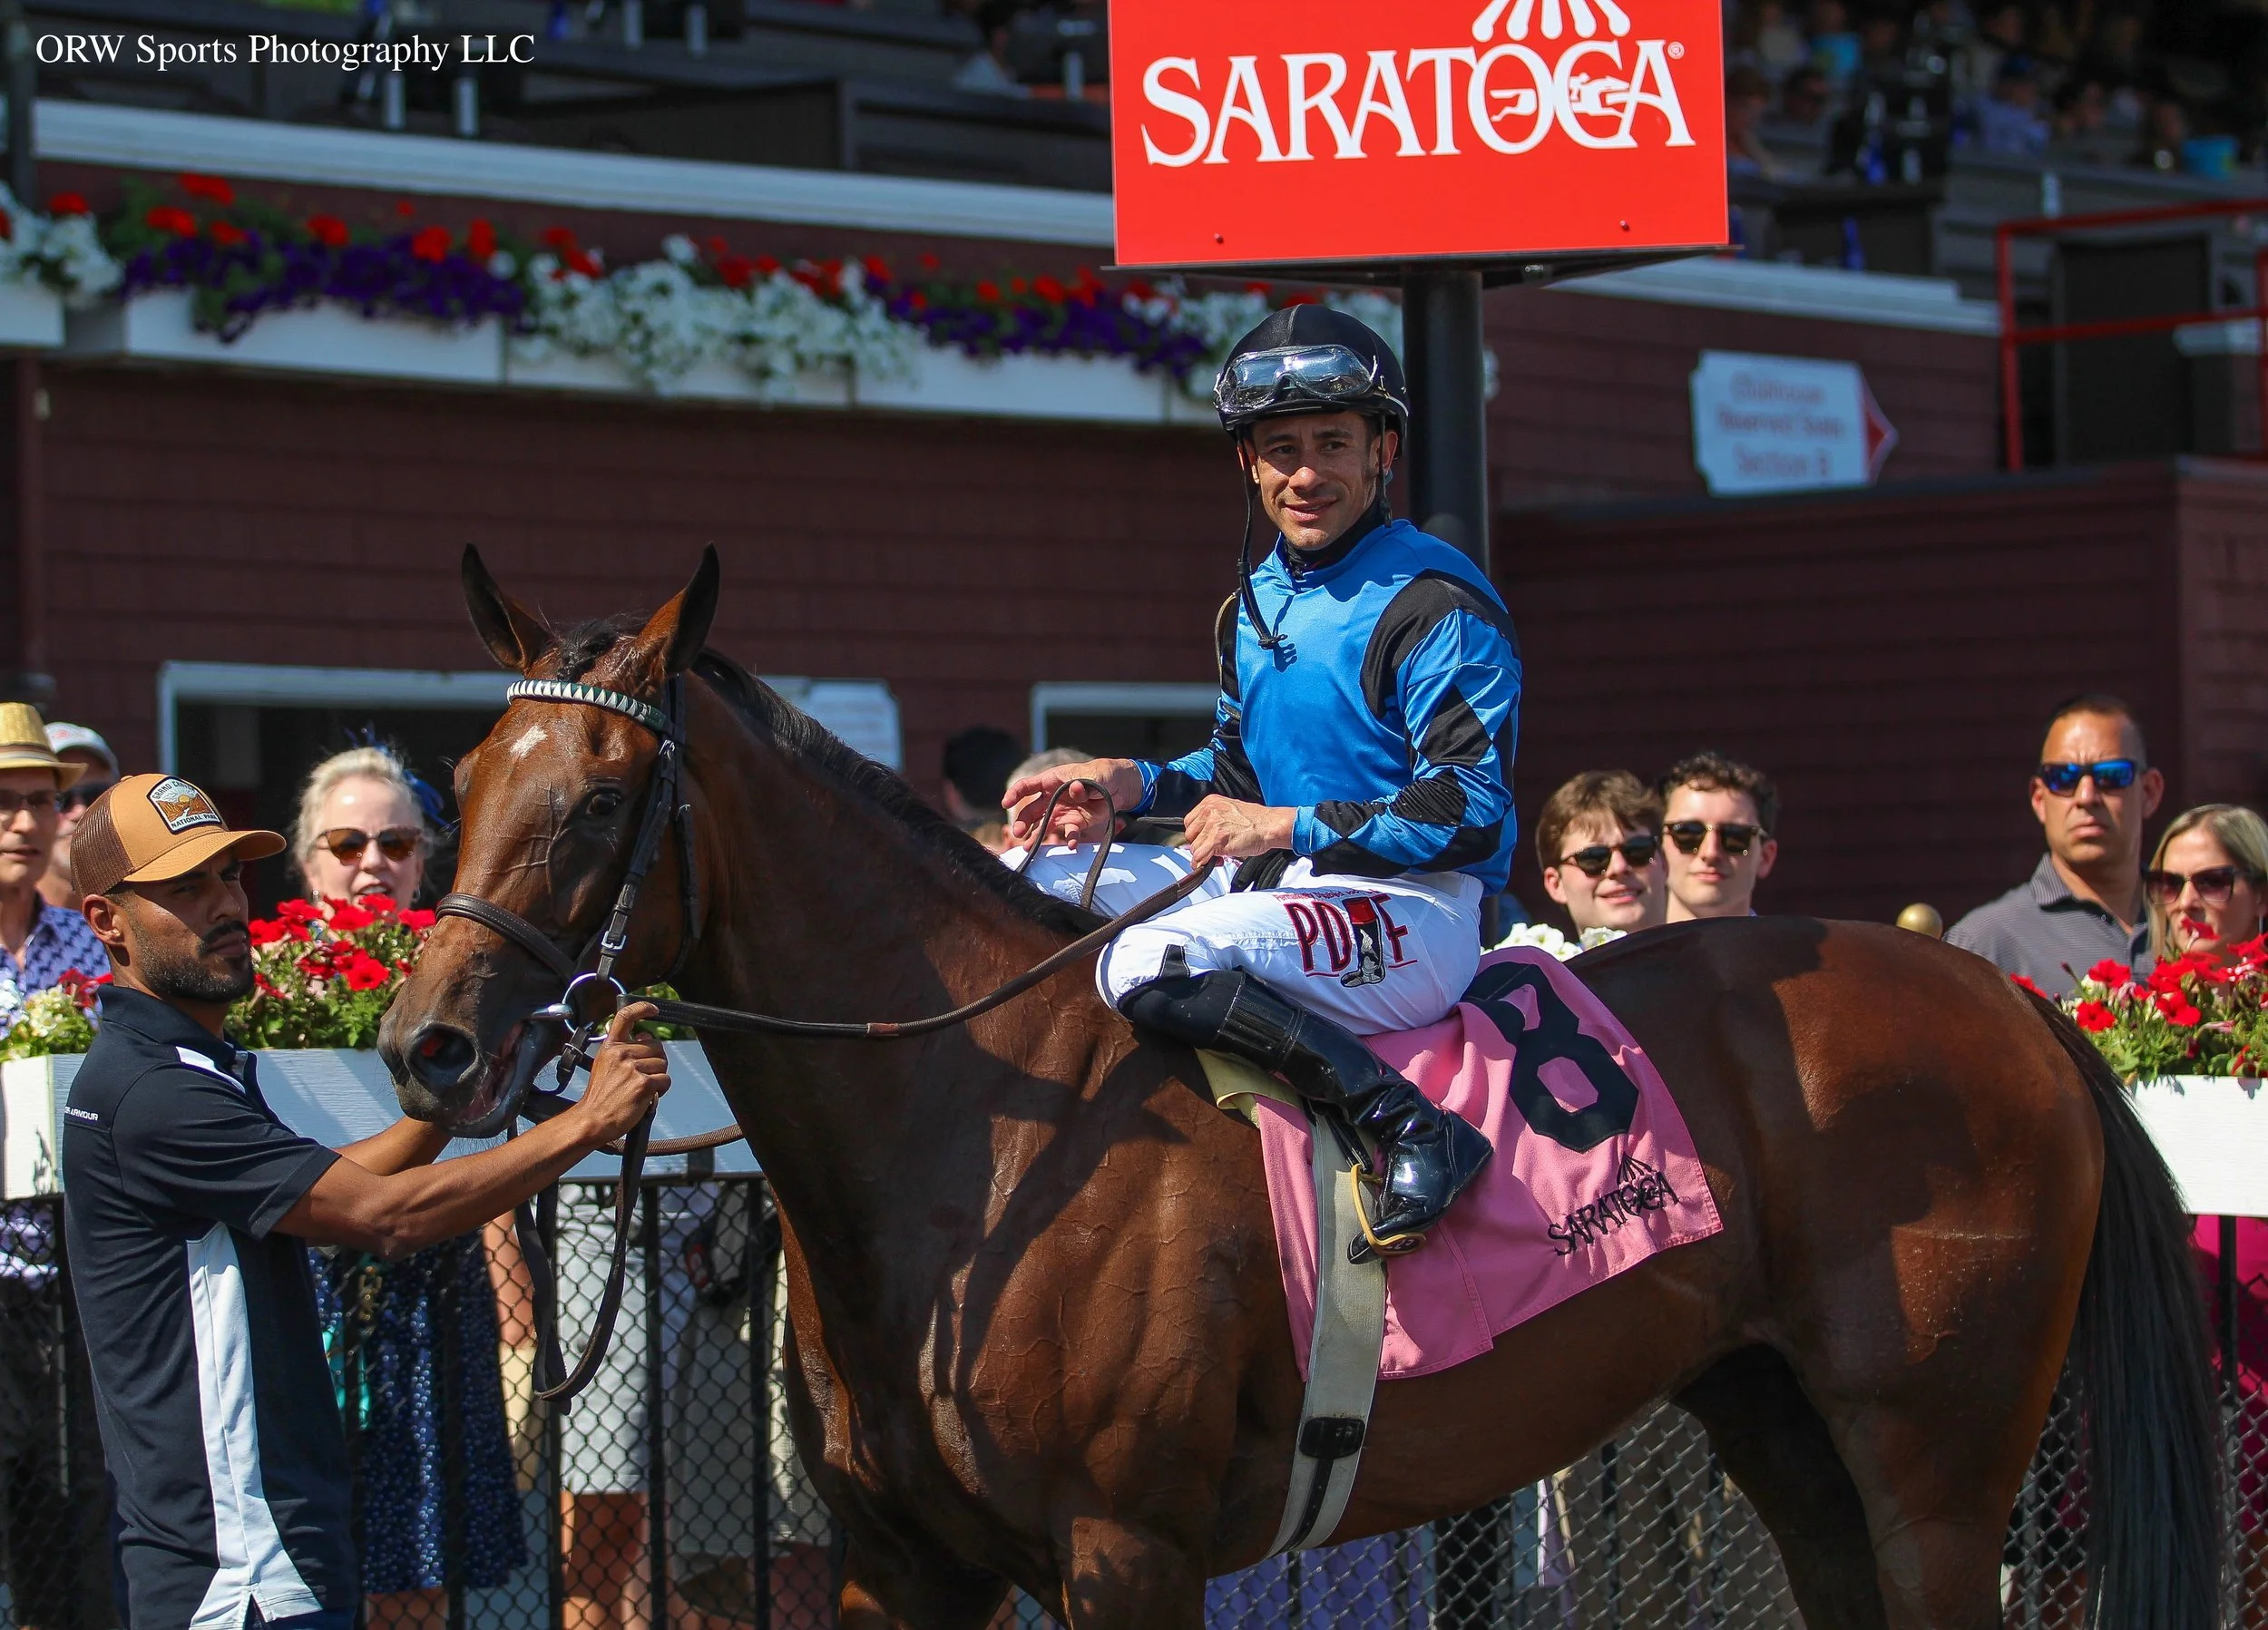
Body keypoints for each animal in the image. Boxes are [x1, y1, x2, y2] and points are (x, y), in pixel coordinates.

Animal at [380, 547, 2219, 1630]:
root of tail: (2015, 1004)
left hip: (1938, 1461)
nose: (430, 1045)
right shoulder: (904, 1564)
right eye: (461, 776)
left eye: (600, 797)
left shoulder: (1128, 1553)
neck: (982, 1145)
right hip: (1786, 1427)